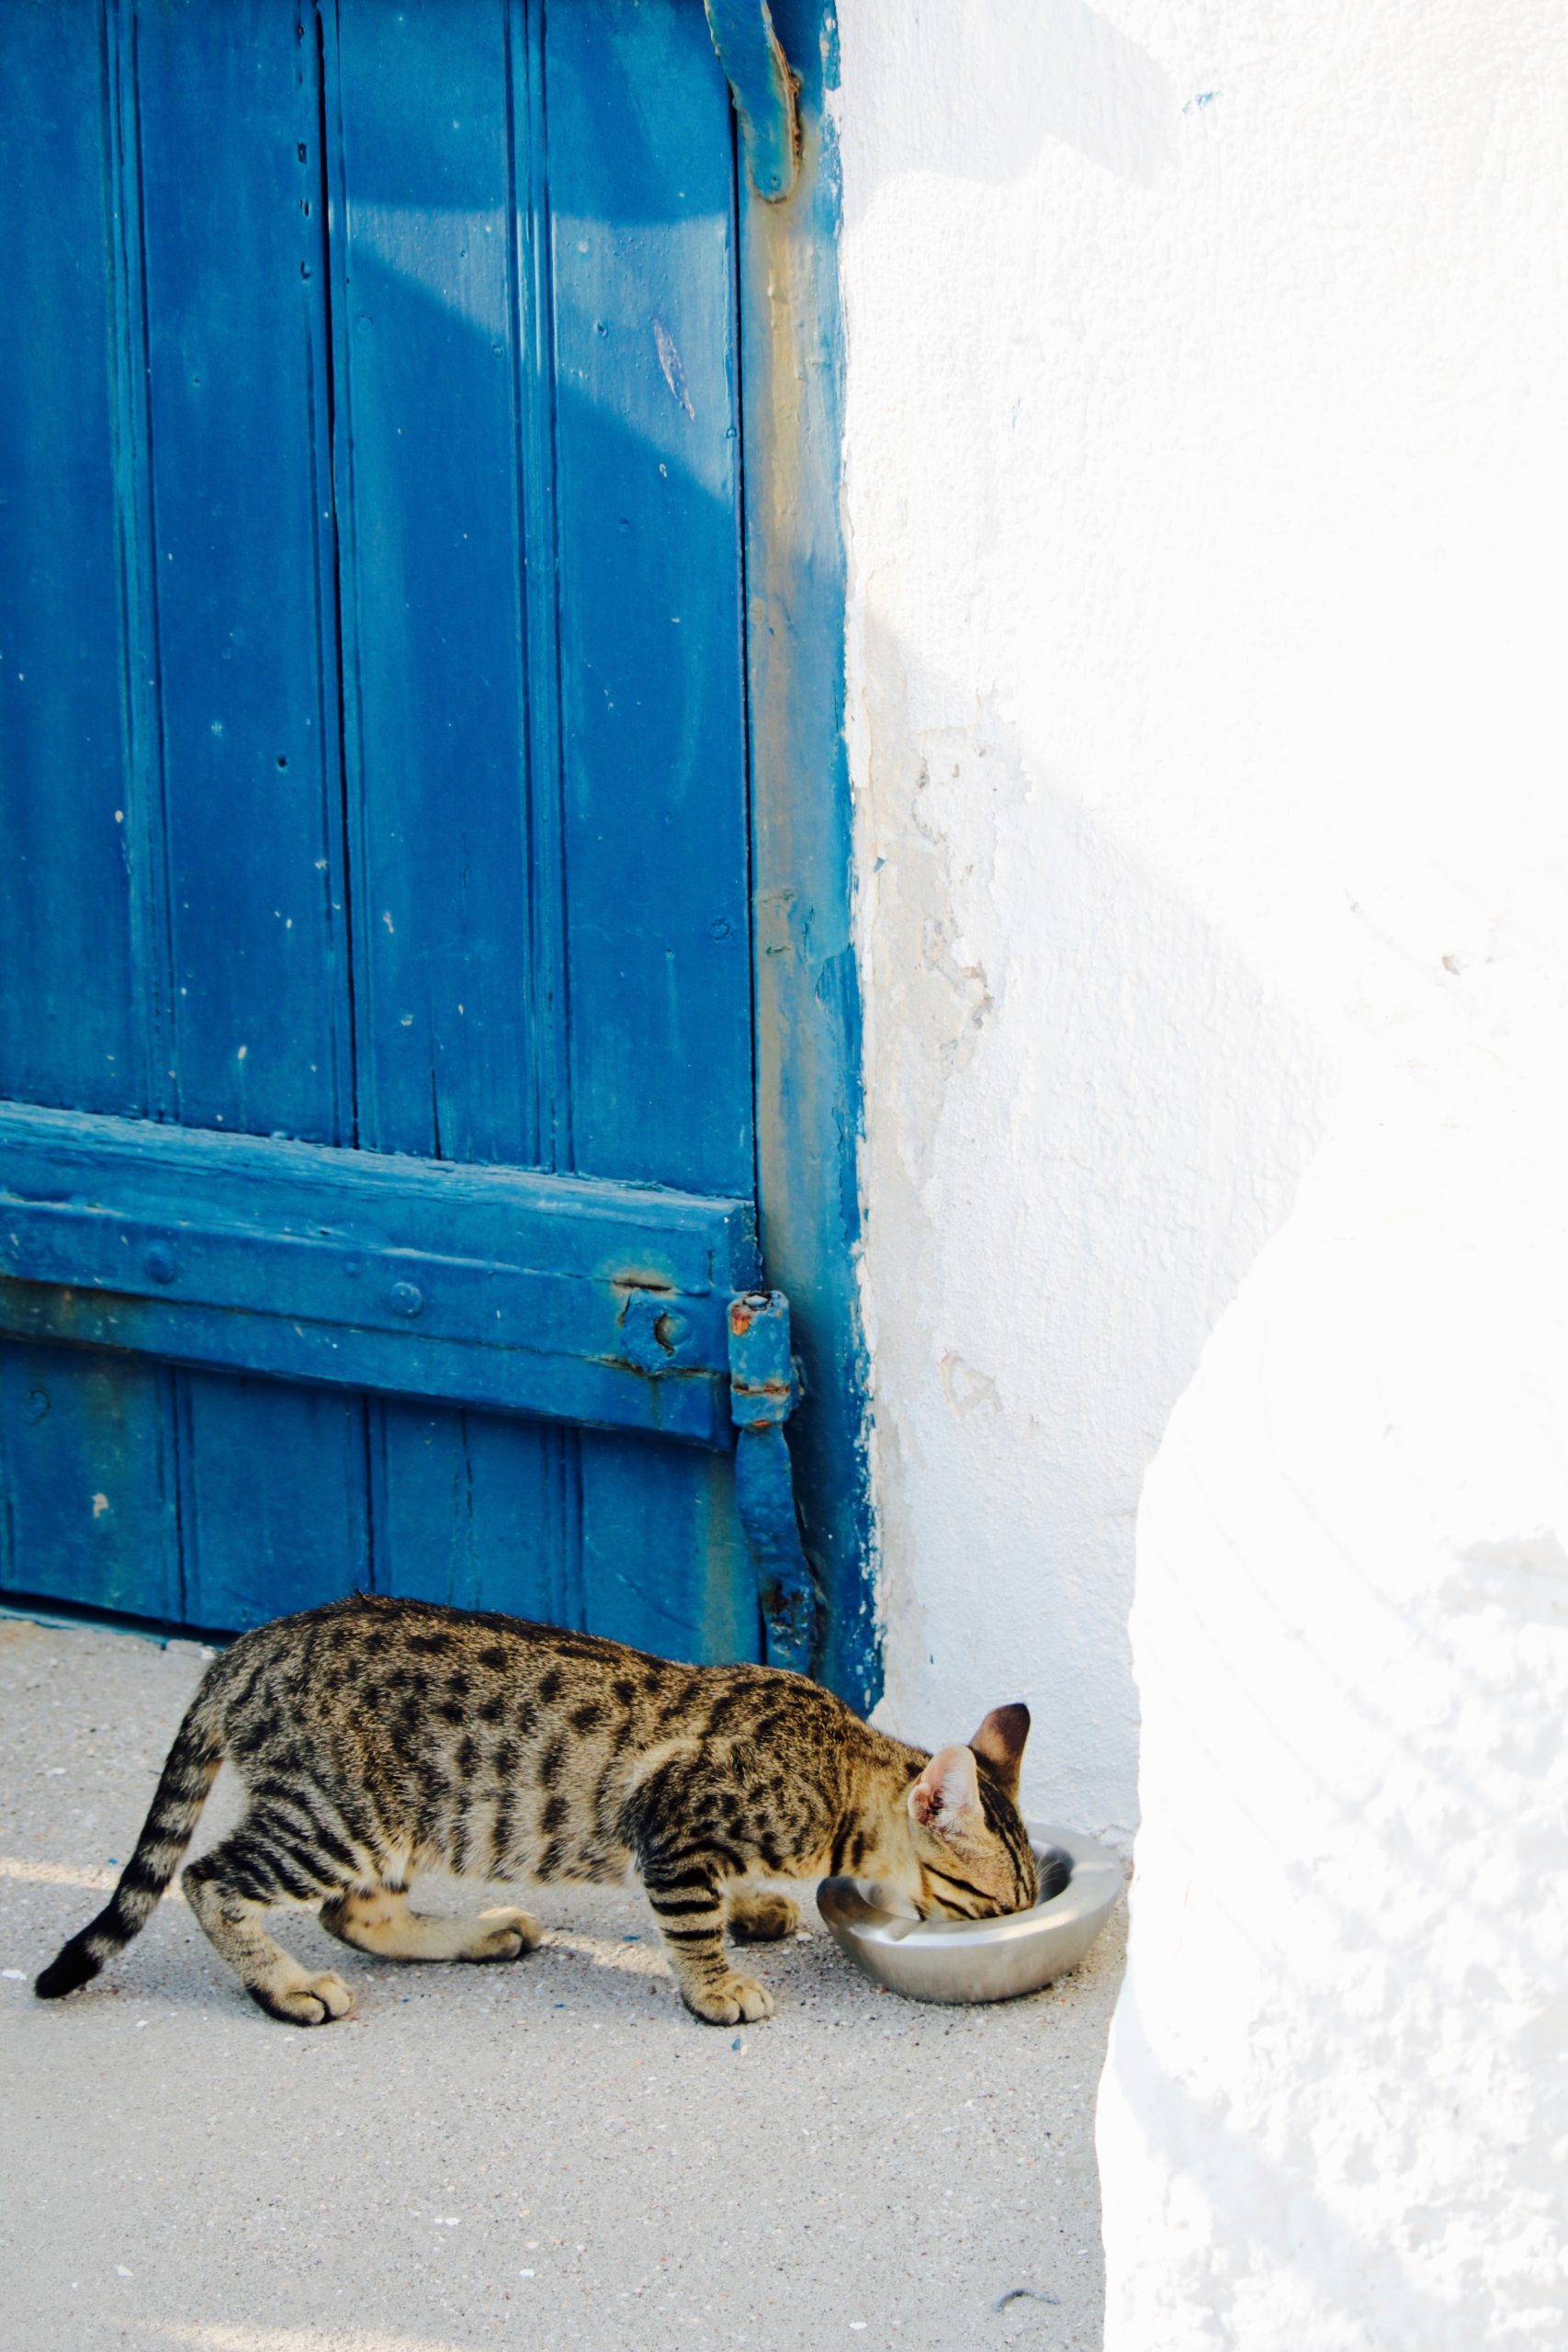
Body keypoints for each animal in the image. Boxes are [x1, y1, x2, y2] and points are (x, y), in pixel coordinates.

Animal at [36, 1589, 1034, 2031]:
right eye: (992, 1906)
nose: (1014, 1924)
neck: (835, 1766)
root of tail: (247, 1649)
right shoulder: (669, 1826)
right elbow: (688, 1919)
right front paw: (716, 1985)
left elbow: (722, 1896)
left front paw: (753, 1905)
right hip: (335, 1817)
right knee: (211, 1879)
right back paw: (285, 1986)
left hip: (395, 1821)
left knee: (355, 1913)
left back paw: (478, 1933)